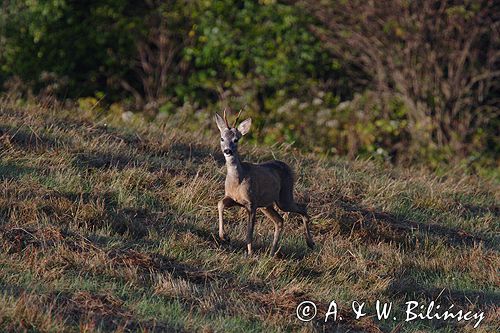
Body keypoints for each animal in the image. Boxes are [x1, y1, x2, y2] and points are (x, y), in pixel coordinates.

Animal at [214, 110, 314, 255]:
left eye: (236, 140)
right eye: (222, 138)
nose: (227, 151)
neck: (237, 181)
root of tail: (287, 166)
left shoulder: (252, 202)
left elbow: (249, 233)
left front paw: (250, 254)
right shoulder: (234, 198)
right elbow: (220, 203)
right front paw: (224, 236)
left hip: (284, 196)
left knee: (302, 208)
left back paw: (310, 243)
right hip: (267, 205)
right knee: (279, 220)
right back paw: (272, 252)